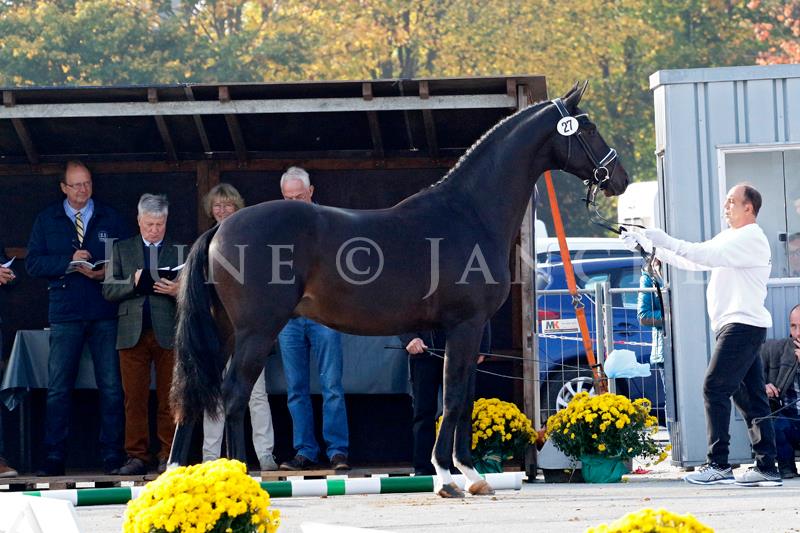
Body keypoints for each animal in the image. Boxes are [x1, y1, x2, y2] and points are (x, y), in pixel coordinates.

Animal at [170, 81, 632, 496]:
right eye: (589, 127)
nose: (620, 178)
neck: (469, 212)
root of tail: (220, 228)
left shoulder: (460, 332)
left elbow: (464, 397)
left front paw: (471, 475)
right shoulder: (464, 326)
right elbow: (455, 398)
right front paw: (448, 477)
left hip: (224, 332)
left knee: (195, 393)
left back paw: (180, 474)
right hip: (257, 332)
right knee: (233, 395)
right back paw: (238, 475)